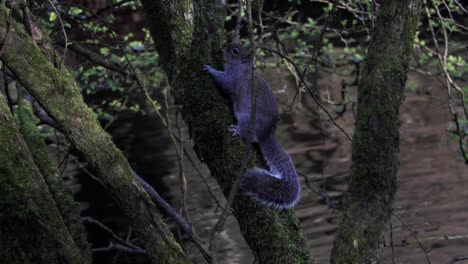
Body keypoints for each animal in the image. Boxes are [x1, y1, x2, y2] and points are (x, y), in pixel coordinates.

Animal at [203, 42, 302, 209]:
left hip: (246, 119)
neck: (243, 66)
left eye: (235, 51)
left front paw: (210, 70)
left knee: (249, 135)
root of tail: (266, 134)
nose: (223, 46)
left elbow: (225, 83)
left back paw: (237, 130)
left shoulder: (234, 78)